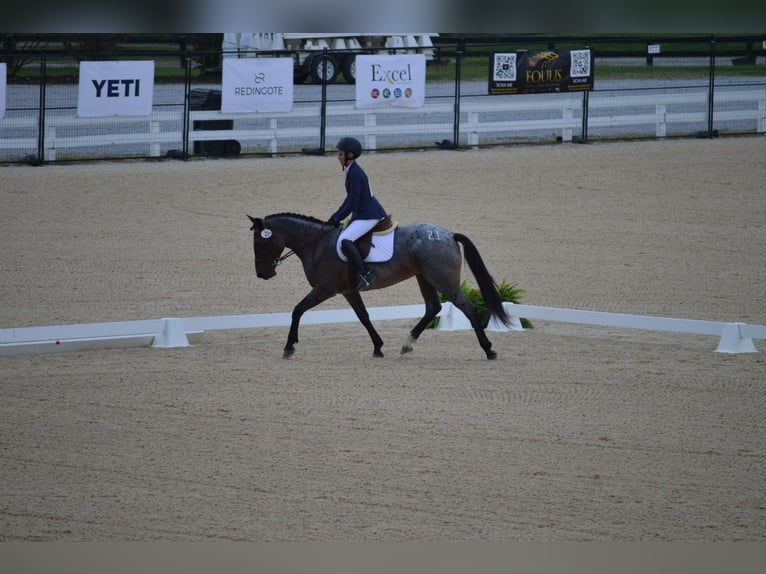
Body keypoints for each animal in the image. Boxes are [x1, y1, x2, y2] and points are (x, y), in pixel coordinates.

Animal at [249, 214, 512, 362]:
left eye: (260, 242)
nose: (262, 274)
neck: (317, 244)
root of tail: (448, 235)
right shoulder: (349, 291)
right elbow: (364, 317)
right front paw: (378, 347)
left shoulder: (325, 289)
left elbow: (298, 310)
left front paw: (288, 347)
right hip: (424, 278)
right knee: (432, 307)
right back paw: (407, 344)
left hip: (443, 280)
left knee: (466, 307)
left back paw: (489, 349)